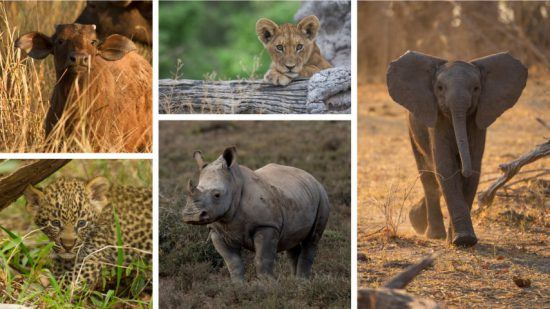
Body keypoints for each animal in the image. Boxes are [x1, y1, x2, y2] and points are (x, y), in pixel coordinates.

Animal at [183, 146, 334, 280]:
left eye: (217, 195)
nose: (191, 216)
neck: (234, 184)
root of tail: (310, 176)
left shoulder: (266, 225)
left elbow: (262, 259)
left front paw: (268, 285)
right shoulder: (217, 230)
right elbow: (233, 263)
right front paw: (238, 287)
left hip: (321, 196)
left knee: (312, 240)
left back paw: (302, 282)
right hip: (298, 195)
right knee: (292, 241)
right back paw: (295, 282)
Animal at [388, 51, 532, 247]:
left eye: (476, 88)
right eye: (440, 88)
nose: (463, 169)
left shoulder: (478, 119)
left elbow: (474, 167)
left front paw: (462, 240)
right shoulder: (437, 119)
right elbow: (446, 167)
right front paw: (462, 240)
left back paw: (419, 221)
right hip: (412, 128)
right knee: (427, 175)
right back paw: (434, 234)